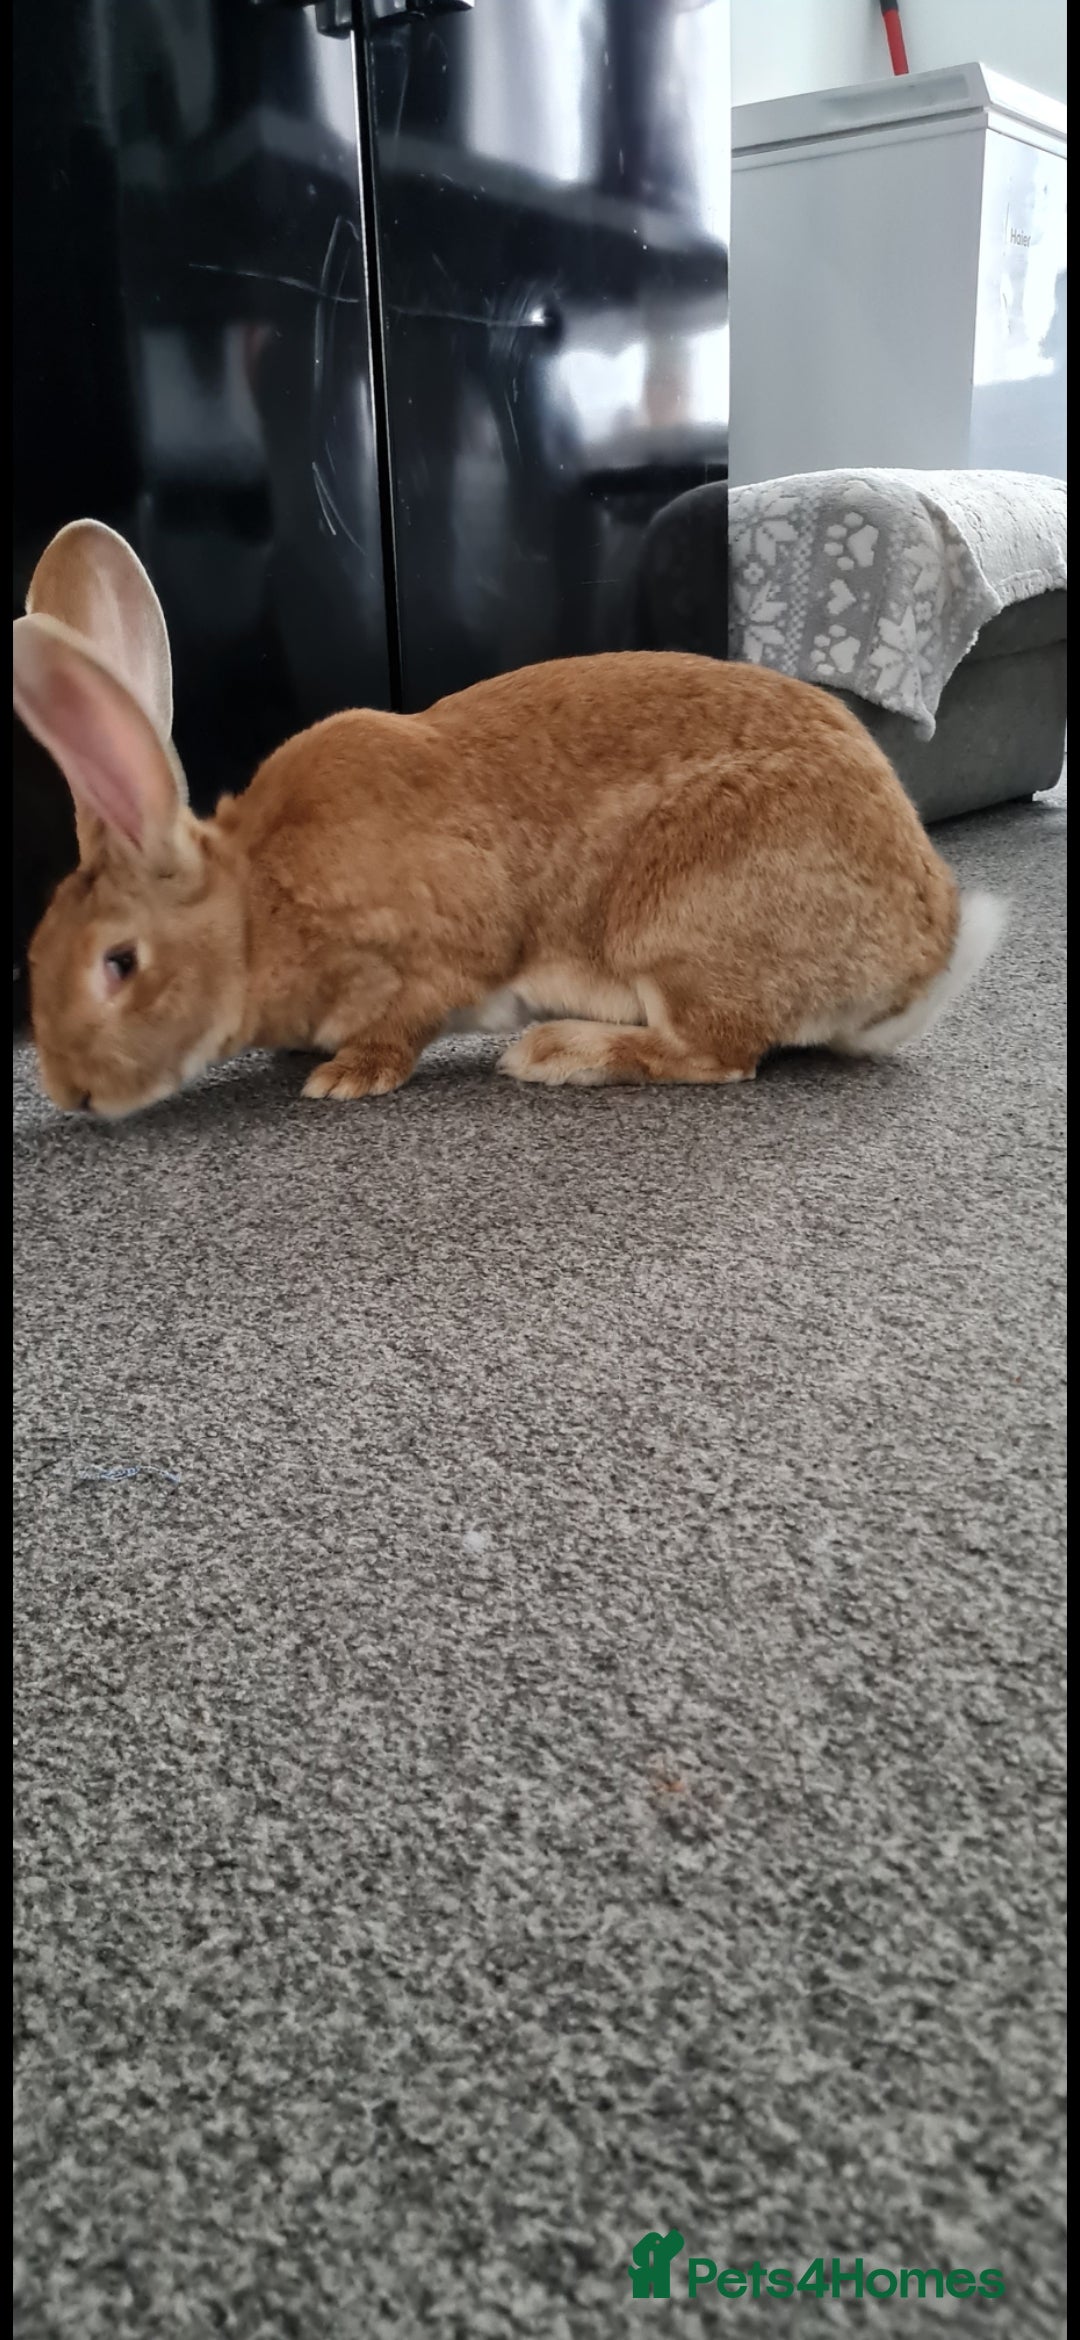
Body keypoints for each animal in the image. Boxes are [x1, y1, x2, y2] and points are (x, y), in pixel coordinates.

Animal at [13, 517, 1004, 1120]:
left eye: (119, 963)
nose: (66, 1091)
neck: (257, 913)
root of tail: (922, 956)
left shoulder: (443, 950)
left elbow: (415, 1012)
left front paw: (345, 1078)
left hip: (675, 925)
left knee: (715, 1052)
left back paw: (557, 1052)